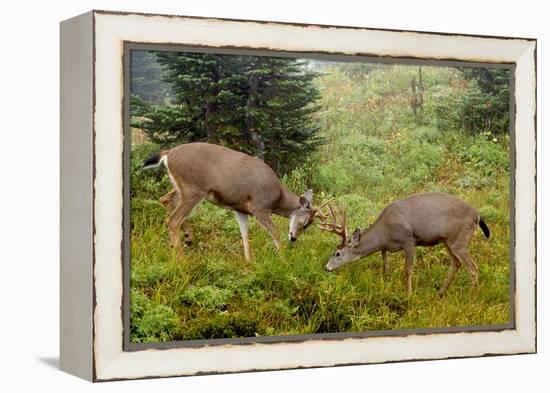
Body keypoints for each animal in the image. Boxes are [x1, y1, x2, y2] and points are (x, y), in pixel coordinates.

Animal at [144, 142, 322, 260]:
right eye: (305, 222)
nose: (293, 238)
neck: (277, 197)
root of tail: (168, 153)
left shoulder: (241, 209)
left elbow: (244, 234)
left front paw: (249, 261)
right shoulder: (259, 207)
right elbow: (275, 232)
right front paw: (283, 258)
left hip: (183, 188)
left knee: (165, 199)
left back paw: (187, 237)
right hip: (193, 190)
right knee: (173, 219)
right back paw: (182, 258)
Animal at [320, 191, 492, 296]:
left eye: (337, 253)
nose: (327, 268)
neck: (385, 233)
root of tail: (477, 215)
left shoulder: (408, 241)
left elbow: (408, 270)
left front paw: (408, 295)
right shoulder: (386, 247)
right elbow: (385, 263)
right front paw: (386, 281)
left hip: (460, 240)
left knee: (474, 268)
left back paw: (472, 297)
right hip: (447, 241)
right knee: (456, 263)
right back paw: (440, 294)